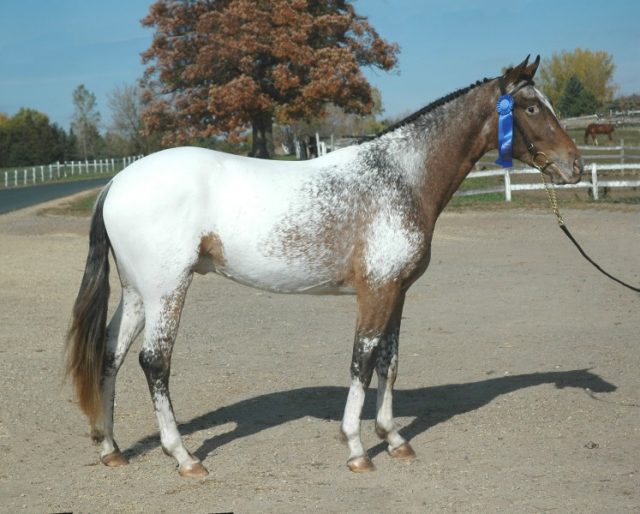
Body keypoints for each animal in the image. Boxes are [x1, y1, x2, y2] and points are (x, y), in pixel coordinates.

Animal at [66, 56, 584, 476]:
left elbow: (389, 364)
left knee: (110, 355)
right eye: (531, 108)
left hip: (138, 293)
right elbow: (361, 362)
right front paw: (356, 448)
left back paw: (111, 449)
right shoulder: (376, 291)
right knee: (154, 361)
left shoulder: (397, 292)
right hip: (166, 290)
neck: (398, 176)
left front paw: (394, 439)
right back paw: (185, 457)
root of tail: (117, 181)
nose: (574, 167)